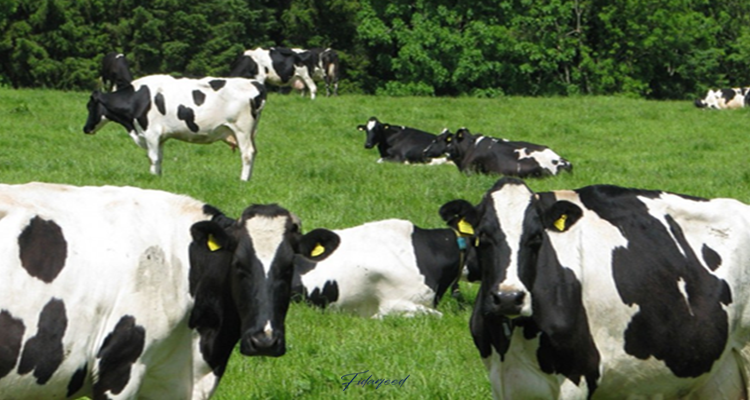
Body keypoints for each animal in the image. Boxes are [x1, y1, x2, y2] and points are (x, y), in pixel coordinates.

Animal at [83, 74, 266, 181]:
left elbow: (152, 157)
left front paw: (152, 177)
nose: (85, 129)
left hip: (241, 129)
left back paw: (243, 180)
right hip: (250, 132)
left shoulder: (151, 133)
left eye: (89, 106)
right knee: (254, 152)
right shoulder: (160, 137)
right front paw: (158, 178)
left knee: (247, 154)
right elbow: (159, 158)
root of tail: (256, 84)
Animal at [439, 176, 750, 399]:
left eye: (537, 237)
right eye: (482, 236)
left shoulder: (576, 377)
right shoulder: (502, 380)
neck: (512, 336)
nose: (508, 298)